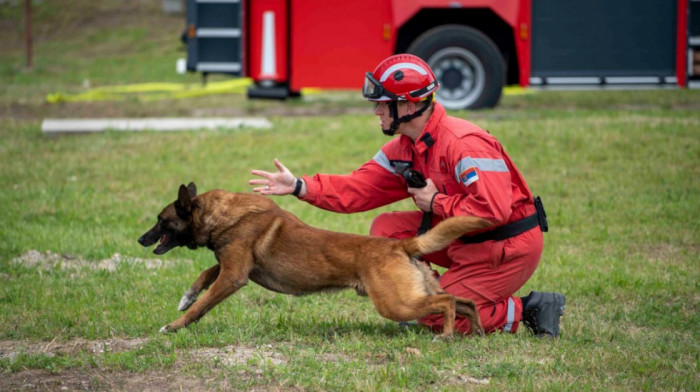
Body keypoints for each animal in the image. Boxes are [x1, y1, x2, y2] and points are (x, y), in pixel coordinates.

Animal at [138, 183, 492, 336]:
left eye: (161, 220)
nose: (141, 239)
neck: (221, 214)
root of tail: (402, 245)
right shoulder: (234, 267)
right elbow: (206, 275)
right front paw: (186, 297)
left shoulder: (234, 275)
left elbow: (203, 304)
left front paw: (175, 325)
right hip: (415, 293)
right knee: (464, 301)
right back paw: (475, 332)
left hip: (395, 304)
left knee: (448, 302)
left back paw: (447, 334)